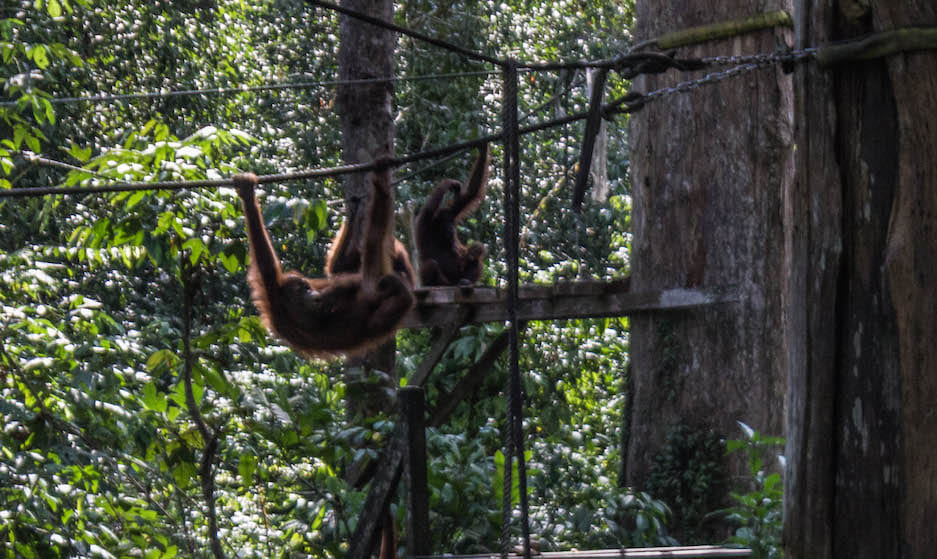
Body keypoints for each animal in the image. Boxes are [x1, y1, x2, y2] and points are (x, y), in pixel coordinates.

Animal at [233, 167, 414, 360]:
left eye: (307, 288)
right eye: (303, 290)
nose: (312, 292)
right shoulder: (278, 293)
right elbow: (265, 260)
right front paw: (247, 195)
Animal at [414, 143, 491, 286]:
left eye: (451, 223)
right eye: (446, 223)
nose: (450, 228)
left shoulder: (453, 211)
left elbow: (471, 193)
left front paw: (483, 148)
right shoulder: (425, 224)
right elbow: (428, 209)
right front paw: (448, 183)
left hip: (457, 278)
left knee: (475, 260)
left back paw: (466, 281)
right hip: (442, 281)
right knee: (431, 264)